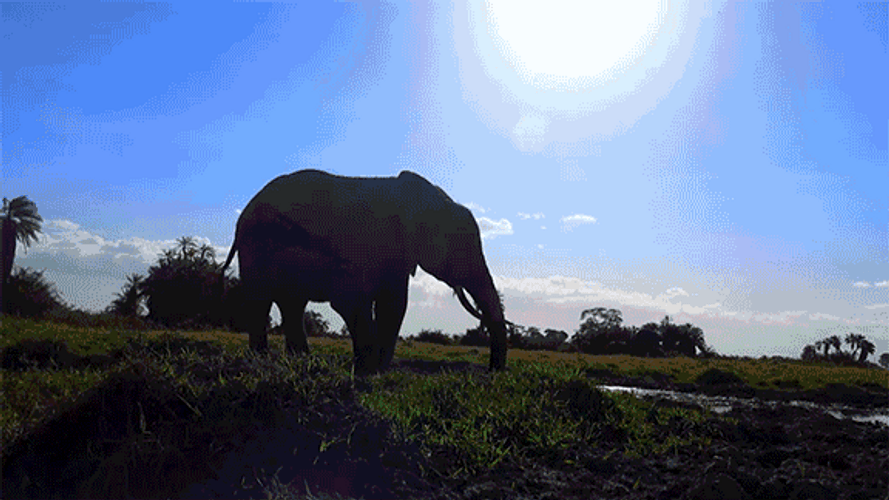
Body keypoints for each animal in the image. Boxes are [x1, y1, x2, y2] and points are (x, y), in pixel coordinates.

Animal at [221, 169, 508, 376]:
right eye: (461, 250)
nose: (492, 373)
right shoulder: (363, 244)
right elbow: (352, 301)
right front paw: (367, 370)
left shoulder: (397, 255)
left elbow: (394, 306)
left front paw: (376, 370)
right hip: (256, 249)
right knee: (261, 301)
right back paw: (261, 362)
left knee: (292, 304)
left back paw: (301, 360)